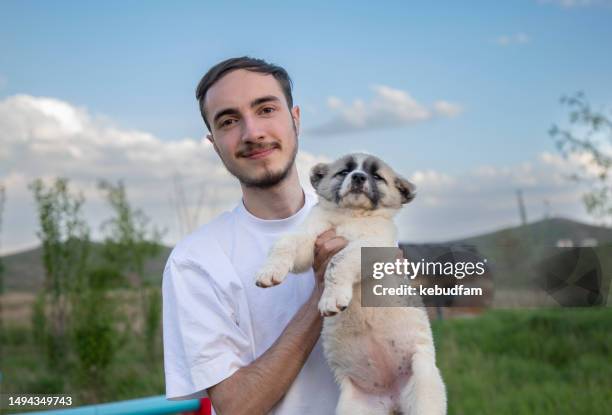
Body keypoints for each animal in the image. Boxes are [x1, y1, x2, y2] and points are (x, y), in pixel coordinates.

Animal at [253, 154, 444, 415]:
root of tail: (392, 398)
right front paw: (269, 270)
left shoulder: (372, 245)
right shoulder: (310, 239)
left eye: (376, 176)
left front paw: (331, 299)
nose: (358, 177)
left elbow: (339, 260)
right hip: (354, 407)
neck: (352, 216)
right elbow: (286, 242)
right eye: (344, 172)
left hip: (424, 385)